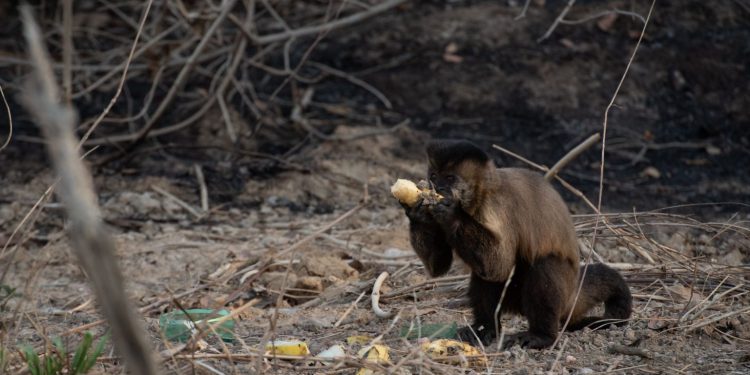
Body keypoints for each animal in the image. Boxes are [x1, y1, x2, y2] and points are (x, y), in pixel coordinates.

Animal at [402, 139, 632, 350]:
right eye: (434, 176)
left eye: (450, 178)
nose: (437, 187)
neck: (481, 194)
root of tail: (573, 291)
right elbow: (440, 267)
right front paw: (417, 212)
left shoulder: (497, 206)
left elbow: (499, 264)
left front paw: (452, 214)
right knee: (484, 275)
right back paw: (486, 328)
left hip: (558, 296)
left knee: (541, 265)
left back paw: (541, 336)